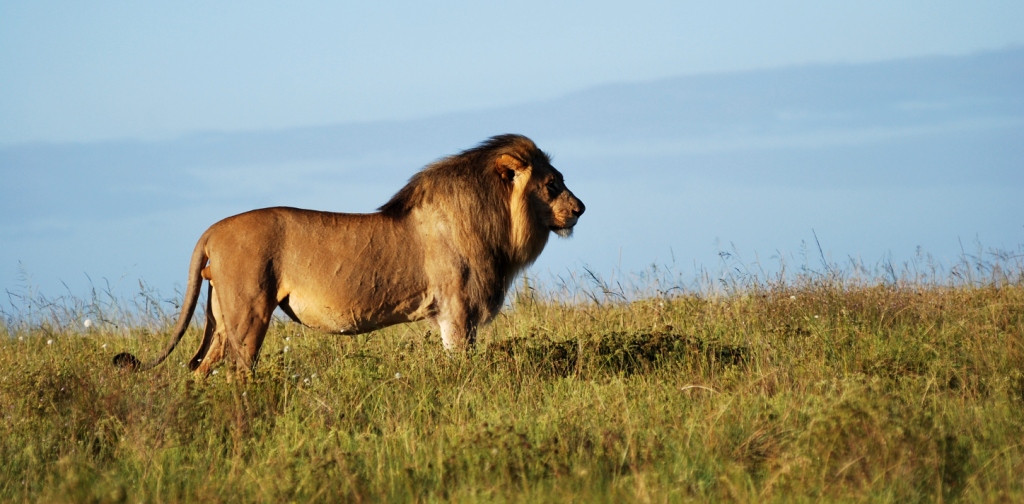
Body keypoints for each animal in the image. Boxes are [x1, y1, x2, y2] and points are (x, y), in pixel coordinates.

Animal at [113, 134, 584, 377]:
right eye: (553, 185)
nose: (581, 209)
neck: (496, 219)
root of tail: (211, 230)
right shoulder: (456, 308)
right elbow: (461, 362)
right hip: (248, 314)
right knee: (237, 372)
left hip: (222, 319)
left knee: (198, 372)